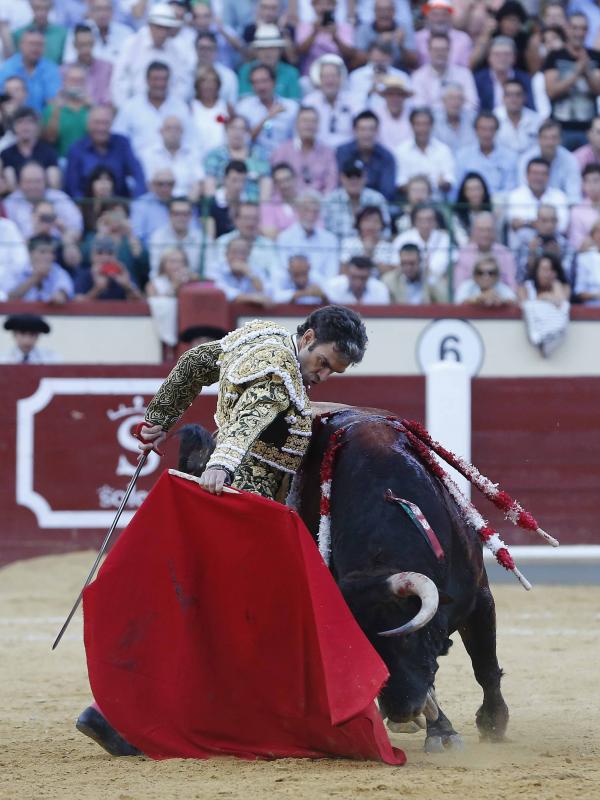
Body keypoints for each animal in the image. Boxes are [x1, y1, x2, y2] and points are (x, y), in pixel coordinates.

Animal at [178, 410, 510, 752]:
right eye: (363, 651)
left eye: (407, 639)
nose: (401, 711)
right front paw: (441, 729)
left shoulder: (478, 597)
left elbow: (484, 664)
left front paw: (492, 723)